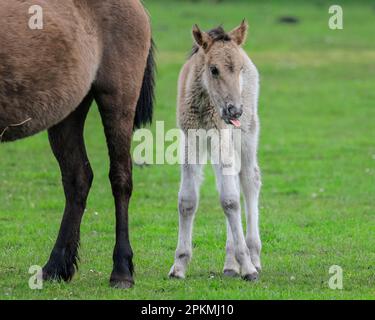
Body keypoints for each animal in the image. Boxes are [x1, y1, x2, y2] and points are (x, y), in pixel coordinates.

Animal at [0, 0, 155, 288]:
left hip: (117, 99)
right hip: (67, 111)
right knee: (78, 180)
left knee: (120, 180)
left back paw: (121, 270)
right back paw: (56, 266)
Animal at [169, 21, 262, 280]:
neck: (204, 106)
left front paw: (248, 267)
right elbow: (187, 200)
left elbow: (230, 201)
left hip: (246, 134)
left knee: (249, 180)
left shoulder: (222, 138)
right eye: (213, 69)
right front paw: (179, 265)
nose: (235, 110)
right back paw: (230, 265)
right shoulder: (191, 139)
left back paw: (253, 257)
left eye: (239, 69)